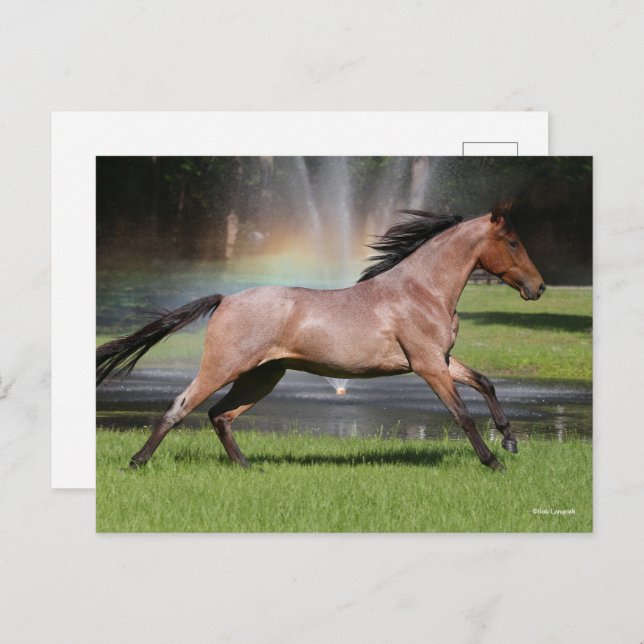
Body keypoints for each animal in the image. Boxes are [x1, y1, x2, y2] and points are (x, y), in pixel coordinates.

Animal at [97, 201, 545, 471]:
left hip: (262, 376)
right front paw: (494, 462)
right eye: (512, 242)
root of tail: (226, 298)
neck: (421, 290)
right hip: (223, 367)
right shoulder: (428, 365)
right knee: (182, 406)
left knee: (219, 415)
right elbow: (462, 415)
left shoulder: (442, 360)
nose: (538, 287)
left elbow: (485, 383)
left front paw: (510, 441)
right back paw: (137, 462)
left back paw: (248, 468)